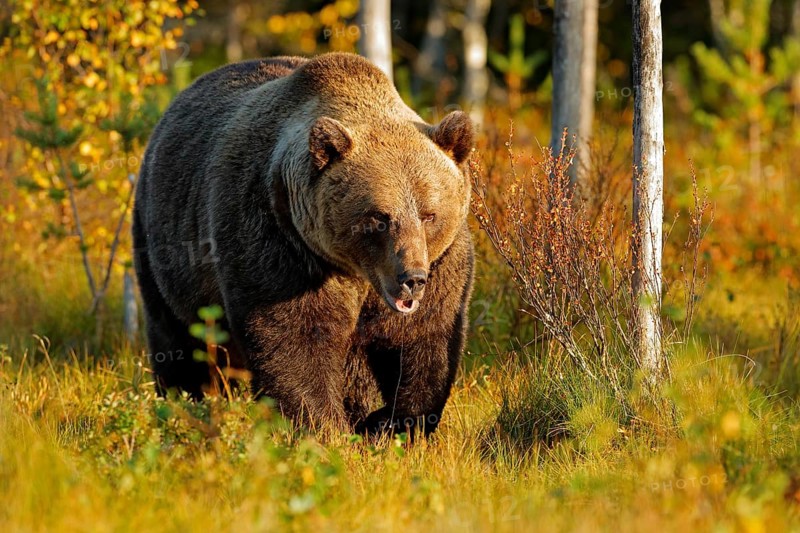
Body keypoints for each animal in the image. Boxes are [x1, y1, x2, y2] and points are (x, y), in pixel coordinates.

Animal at [132, 53, 474, 436]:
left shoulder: (442, 260)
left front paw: (392, 423)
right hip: (163, 243)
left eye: (429, 214)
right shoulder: (279, 240)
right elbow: (295, 339)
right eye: (379, 218)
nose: (411, 278)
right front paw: (325, 428)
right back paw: (185, 401)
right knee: (177, 337)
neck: (356, 270)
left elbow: (424, 338)